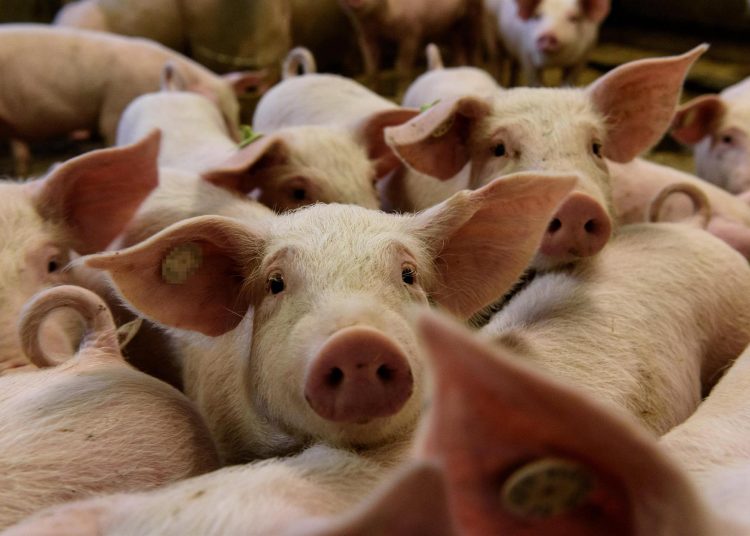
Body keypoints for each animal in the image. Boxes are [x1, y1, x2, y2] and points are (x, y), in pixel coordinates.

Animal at [337, 0, 486, 91]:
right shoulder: (366, 36)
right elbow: (372, 69)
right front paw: (373, 91)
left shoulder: (411, 33)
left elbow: (401, 67)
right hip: (452, 26)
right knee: (459, 47)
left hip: (475, 11)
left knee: (474, 44)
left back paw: (477, 66)